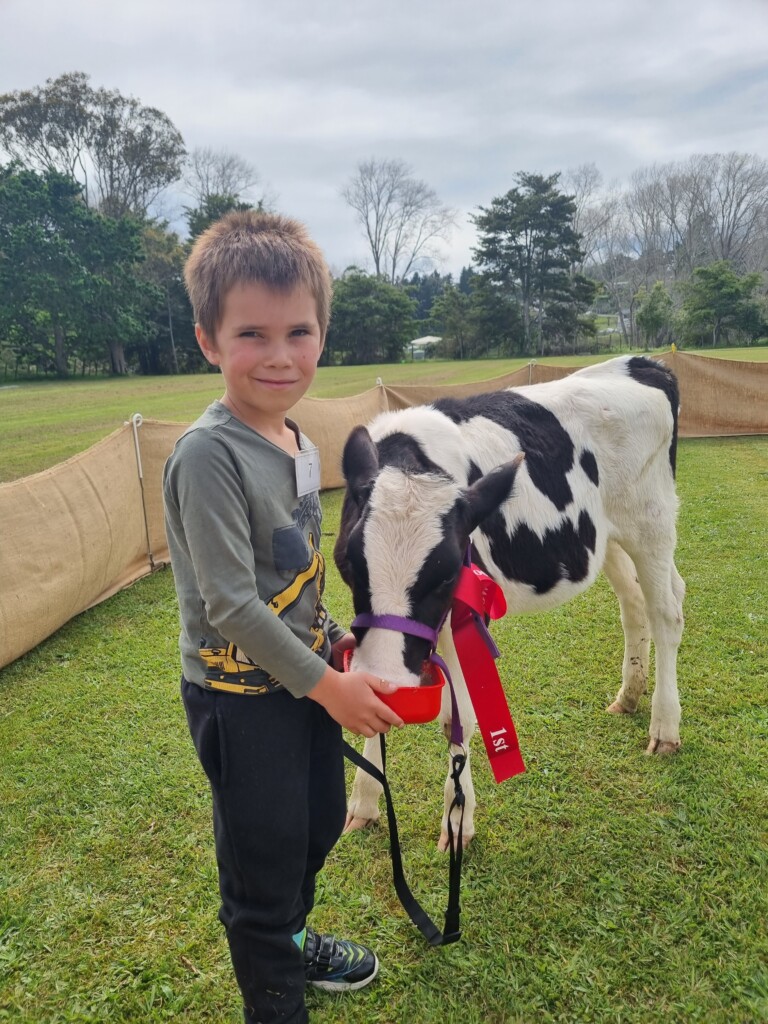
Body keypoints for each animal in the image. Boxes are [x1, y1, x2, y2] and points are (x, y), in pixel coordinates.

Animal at [335, 356, 684, 851]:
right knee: (634, 604)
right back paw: (629, 696)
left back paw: (664, 727)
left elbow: (456, 719)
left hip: (651, 523)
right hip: (605, 536)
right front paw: (364, 803)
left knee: (666, 612)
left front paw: (458, 821)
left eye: (448, 573)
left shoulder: (461, 618)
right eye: (349, 562)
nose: (393, 681)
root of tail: (641, 363)